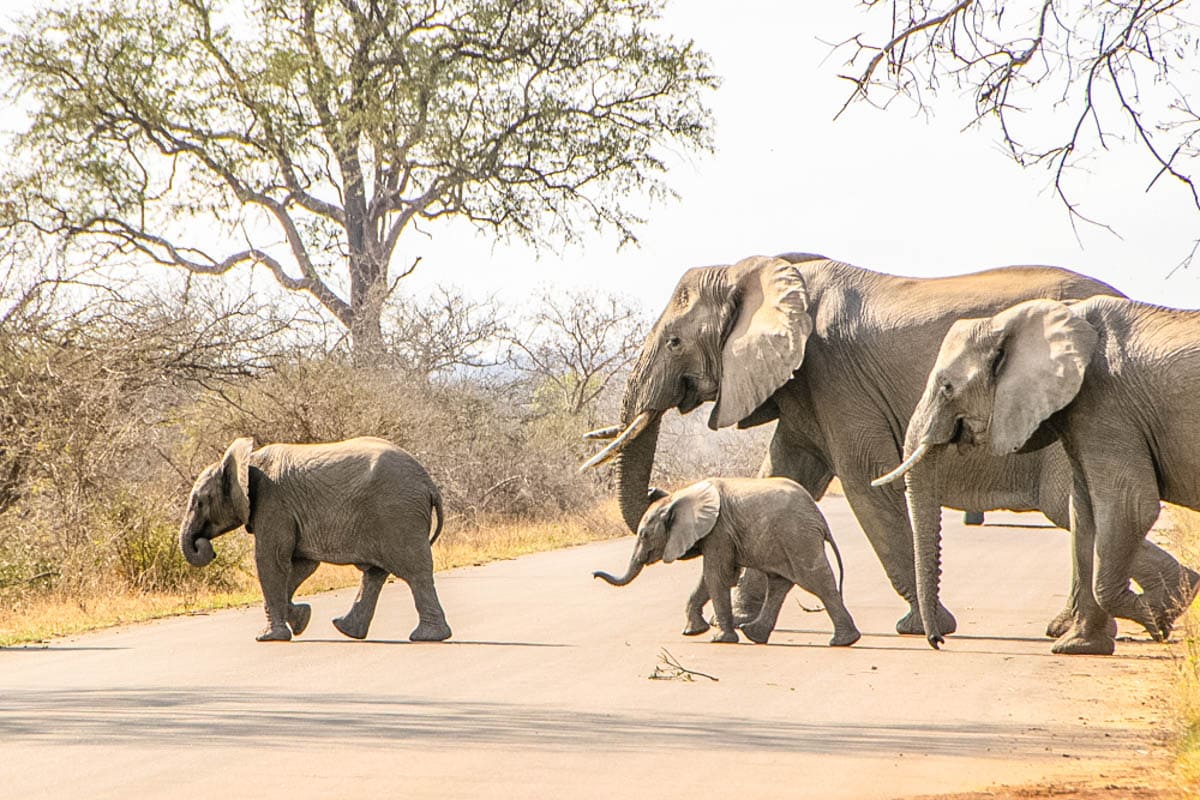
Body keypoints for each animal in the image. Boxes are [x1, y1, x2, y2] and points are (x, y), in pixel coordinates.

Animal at [180, 438, 451, 642]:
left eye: (199, 502)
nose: (205, 547)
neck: (248, 460)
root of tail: (429, 483)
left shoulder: (273, 504)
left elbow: (271, 560)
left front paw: (268, 637)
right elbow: (301, 565)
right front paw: (301, 619)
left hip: (397, 514)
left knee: (414, 572)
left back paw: (427, 637)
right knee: (375, 574)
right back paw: (347, 630)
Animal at [592, 474, 859, 642]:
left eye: (644, 535)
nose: (594, 575)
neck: (682, 496)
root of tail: (820, 519)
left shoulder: (719, 531)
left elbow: (716, 576)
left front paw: (719, 639)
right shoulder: (718, 535)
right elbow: (708, 579)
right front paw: (692, 632)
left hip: (798, 536)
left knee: (816, 581)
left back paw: (843, 641)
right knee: (779, 583)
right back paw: (755, 635)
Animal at [873, 297, 1200, 652]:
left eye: (947, 387)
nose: (937, 641)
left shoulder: (1108, 406)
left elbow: (1130, 506)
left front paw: (1160, 618)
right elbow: (1082, 513)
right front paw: (1079, 646)